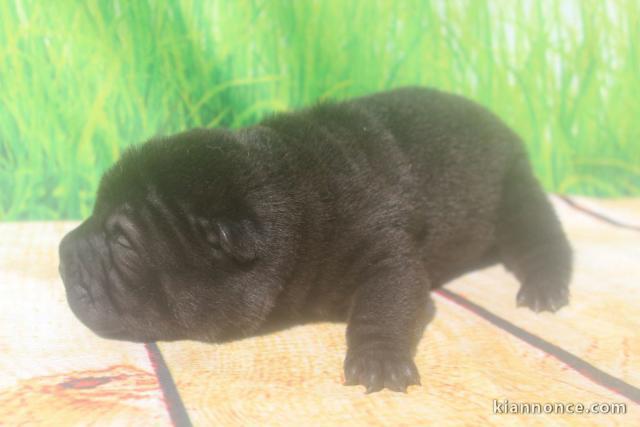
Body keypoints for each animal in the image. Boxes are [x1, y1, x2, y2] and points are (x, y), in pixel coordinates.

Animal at [57, 88, 572, 394]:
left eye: (124, 242)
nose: (61, 253)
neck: (290, 194)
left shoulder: (387, 254)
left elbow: (386, 303)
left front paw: (379, 360)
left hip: (513, 190)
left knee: (540, 234)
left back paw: (544, 285)